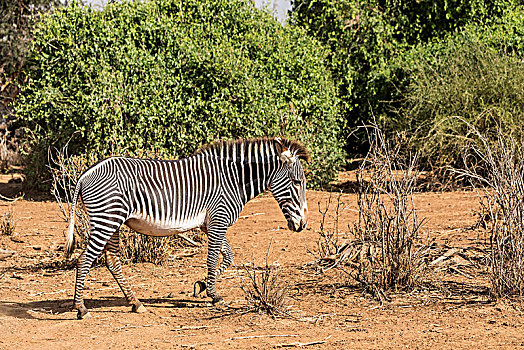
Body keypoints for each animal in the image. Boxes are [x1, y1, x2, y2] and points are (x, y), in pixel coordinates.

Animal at [65, 137, 312, 320]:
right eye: (297, 182)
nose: (303, 225)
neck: (233, 180)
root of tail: (86, 174)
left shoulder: (208, 225)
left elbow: (229, 256)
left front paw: (201, 286)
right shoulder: (218, 219)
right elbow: (212, 258)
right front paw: (213, 295)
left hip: (113, 222)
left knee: (112, 261)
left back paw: (135, 303)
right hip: (106, 220)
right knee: (84, 260)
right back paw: (81, 308)